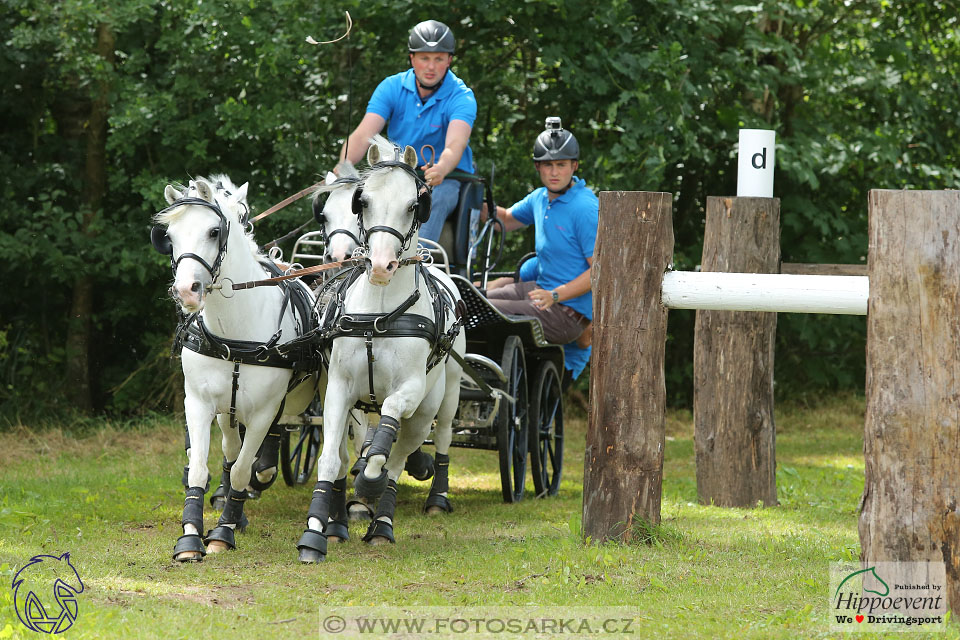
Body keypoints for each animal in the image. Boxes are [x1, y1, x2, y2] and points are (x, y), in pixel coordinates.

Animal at [153, 175, 322, 560]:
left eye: (214, 231)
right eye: (169, 236)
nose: (186, 291)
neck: (237, 332)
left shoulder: (264, 411)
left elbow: (245, 470)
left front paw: (223, 532)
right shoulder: (200, 403)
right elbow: (201, 468)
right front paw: (190, 537)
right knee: (232, 450)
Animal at [298, 142, 466, 564]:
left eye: (413, 205)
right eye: (365, 202)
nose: (379, 265)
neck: (379, 314)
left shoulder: (410, 390)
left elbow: (386, 443)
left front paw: (370, 486)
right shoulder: (339, 389)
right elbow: (332, 458)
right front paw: (316, 531)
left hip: (441, 399)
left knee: (419, 446)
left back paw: (397, 517)